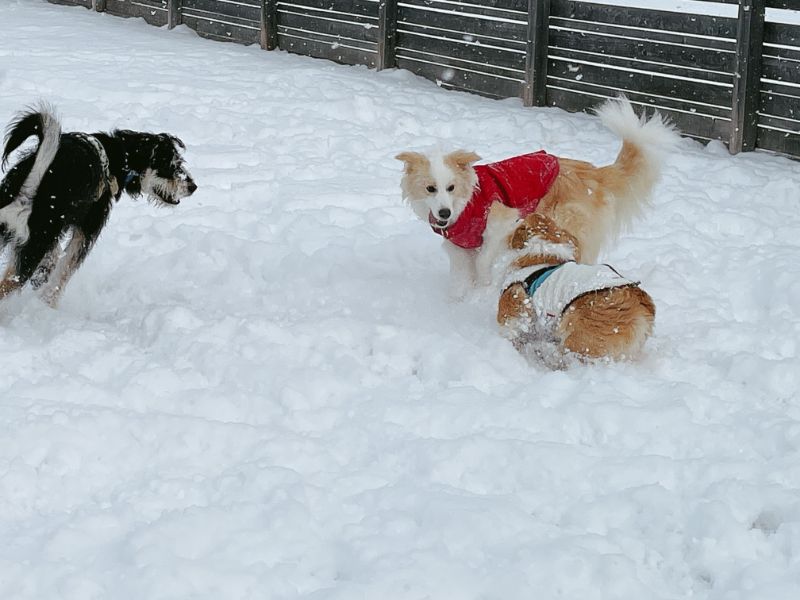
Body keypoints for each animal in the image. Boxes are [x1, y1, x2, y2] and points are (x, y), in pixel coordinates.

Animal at [0, 103, 197, 308]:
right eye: (172, 166)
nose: (193, 186)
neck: (118, 158)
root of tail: (29, 188)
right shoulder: (87, 230)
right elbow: (64, 271)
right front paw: (49, 304)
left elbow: (54, 257)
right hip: (34, 247)